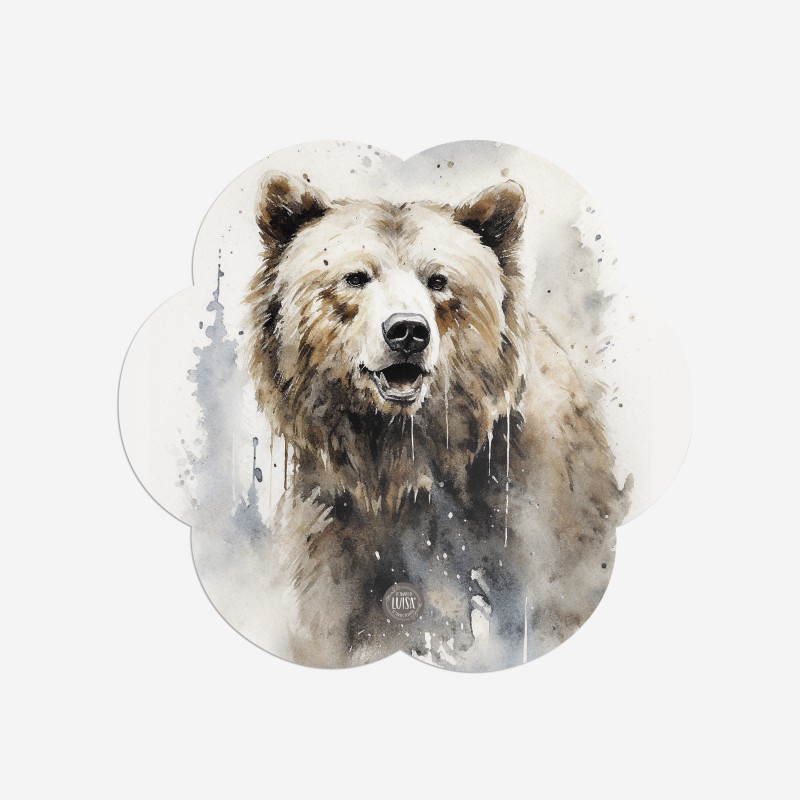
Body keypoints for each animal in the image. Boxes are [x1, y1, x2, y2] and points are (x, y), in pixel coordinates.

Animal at [245, 171, 631, 671]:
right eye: (355, 277)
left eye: (439, 280)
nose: (407, 331)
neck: (400, 463)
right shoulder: (336, 534)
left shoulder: (530, 515)